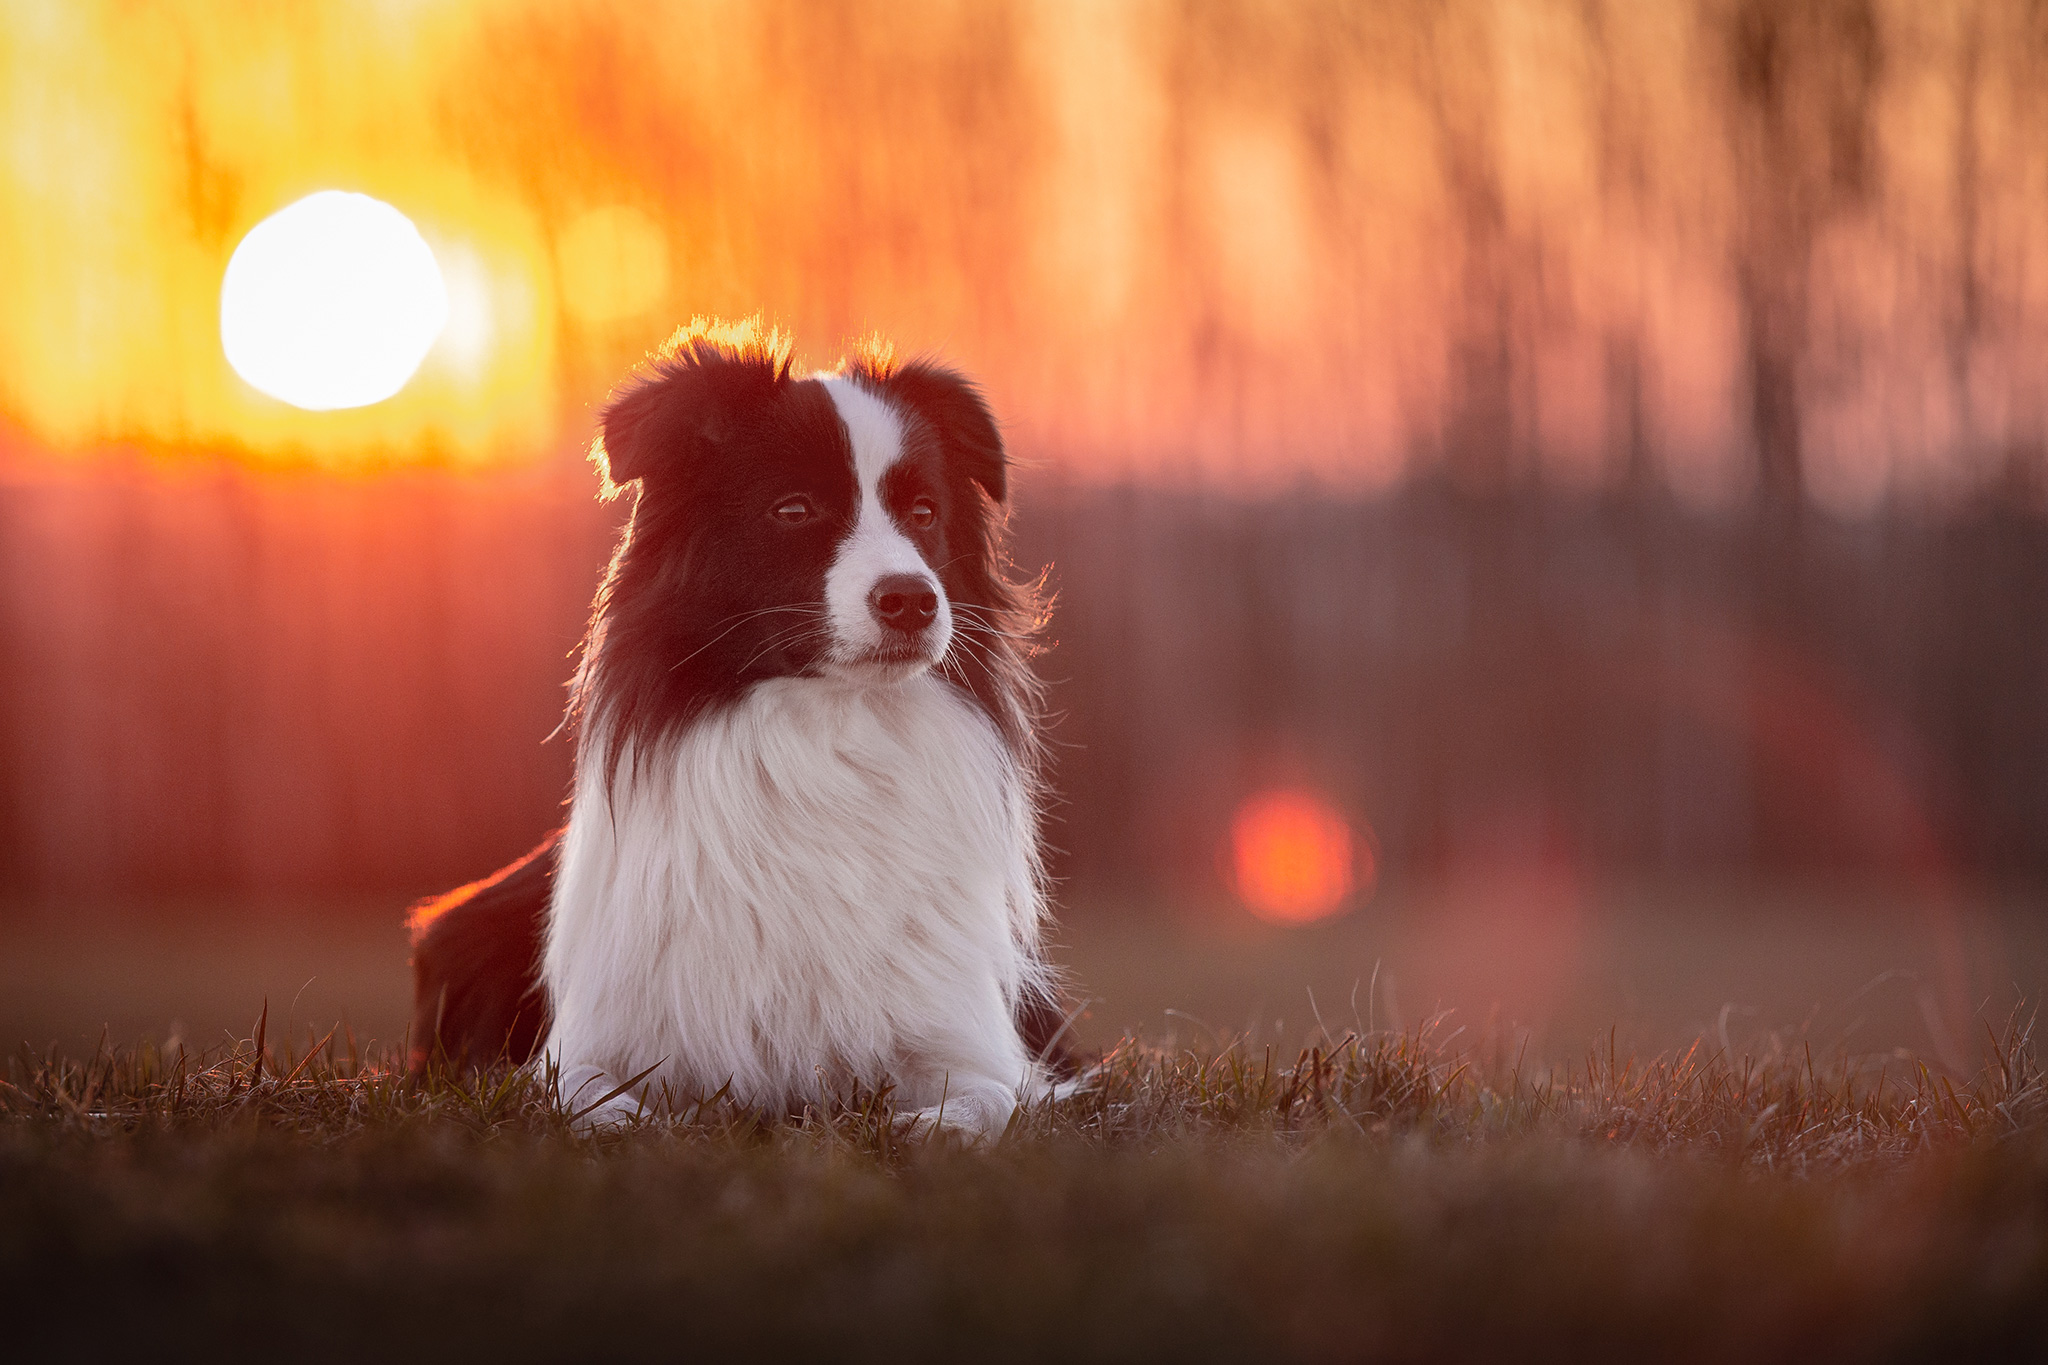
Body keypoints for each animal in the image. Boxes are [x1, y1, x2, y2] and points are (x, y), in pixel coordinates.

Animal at [405, 323, 1064, 1146]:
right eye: (794, 508)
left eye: (923, 512)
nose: (913, 599)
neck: (827, 733)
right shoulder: (595, 1042)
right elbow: (579, 1095)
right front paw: (639, 1121)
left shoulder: (972, 1044)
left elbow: (989, 1098)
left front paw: (929, 1127)